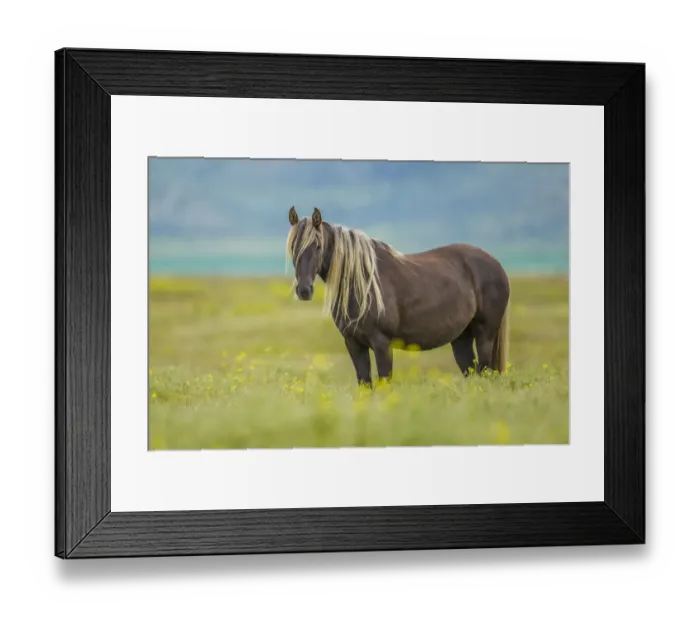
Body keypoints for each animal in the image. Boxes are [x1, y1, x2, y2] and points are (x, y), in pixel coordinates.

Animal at [286, 206, 511, 387]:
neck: (363, 284)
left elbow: (384, 382)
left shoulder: (382, 344)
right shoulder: (354, 344)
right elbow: (364, 384)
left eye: (317, 246)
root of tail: (496, 264)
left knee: (486, 371)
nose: (304, 290)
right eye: (293, 246)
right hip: (461, 339)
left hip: (485, 334)